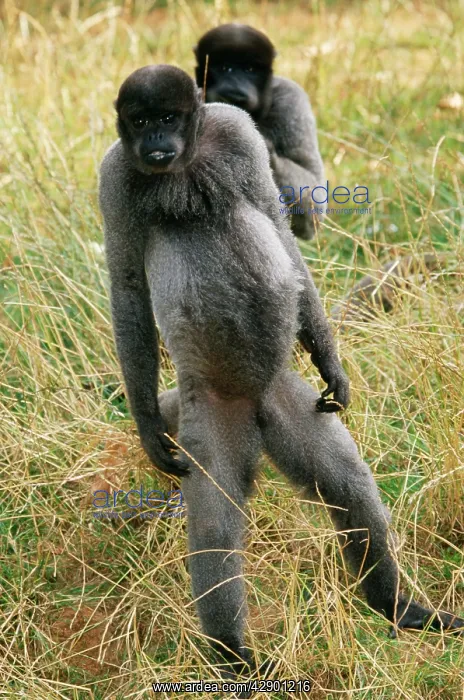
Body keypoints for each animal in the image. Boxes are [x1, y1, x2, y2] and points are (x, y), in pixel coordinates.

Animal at [99, 65, 464, 684]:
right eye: (140, 121)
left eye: (168, 117)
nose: (156, 143)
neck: (184, 166)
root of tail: (252, 406)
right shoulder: (116, 178)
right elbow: (127, 291)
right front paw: (148, 427)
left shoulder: (238, 135)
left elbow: (277, 226)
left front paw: (333, 364)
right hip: (212, 409)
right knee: (217, 529)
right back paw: (233, 657)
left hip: (283, 393)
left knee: (349, 486)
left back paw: (397, 606)